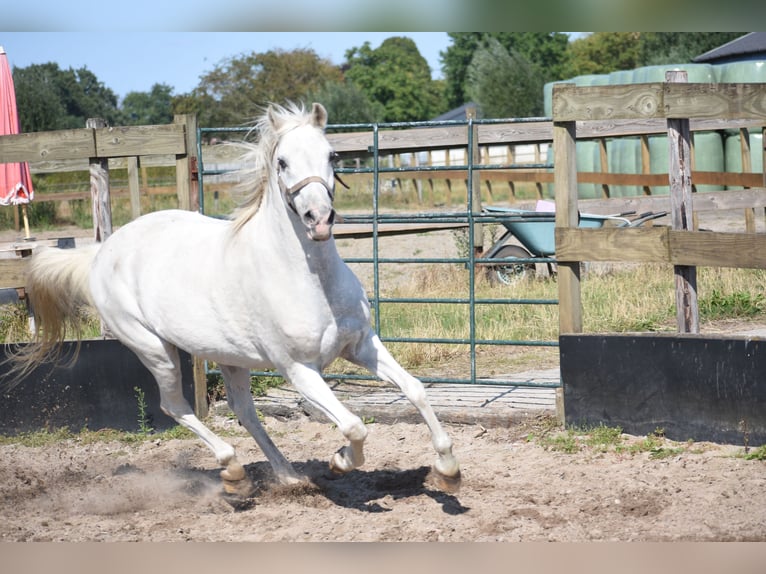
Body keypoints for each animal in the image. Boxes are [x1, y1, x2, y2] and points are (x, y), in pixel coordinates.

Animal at [11, 102, 461, 500]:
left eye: (332, 155)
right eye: (282, 162)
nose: (318, 219)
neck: (311, 280)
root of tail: (101, 253)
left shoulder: (362, 346)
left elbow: (416, 390)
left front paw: (448, 470)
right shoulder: (300, 370)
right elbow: (354, 427)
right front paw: (339, 461)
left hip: (228, 356)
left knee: (244, 411)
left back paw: (287, 476)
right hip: (154, 349)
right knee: (175, 406)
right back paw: (233, 472)